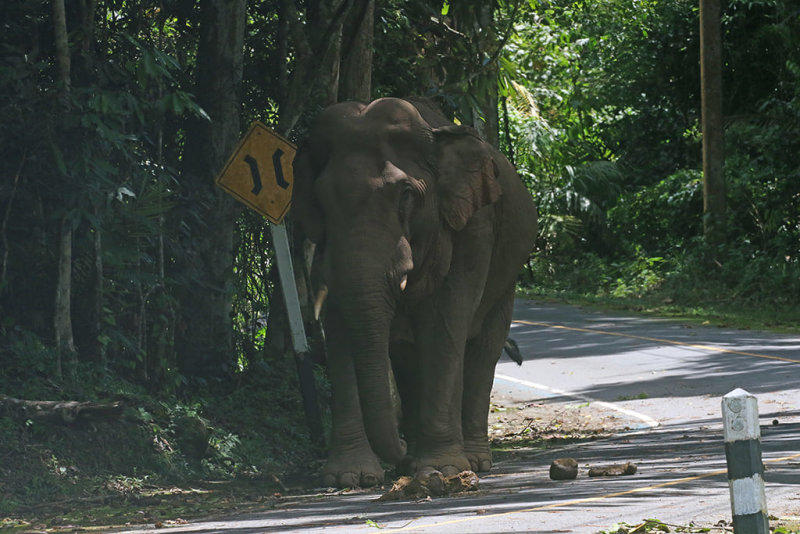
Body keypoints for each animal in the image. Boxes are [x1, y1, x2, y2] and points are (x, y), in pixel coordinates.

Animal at [290, 97, 536, 490]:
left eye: (405, 195)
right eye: (322, 199)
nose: (402, 447)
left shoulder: (474, 228)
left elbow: (444, 324)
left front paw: (444, 469)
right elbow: (340, 328)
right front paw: (350, 476)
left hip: (508, 272)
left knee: (483, 347)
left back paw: (474, 460)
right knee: (408, 355)